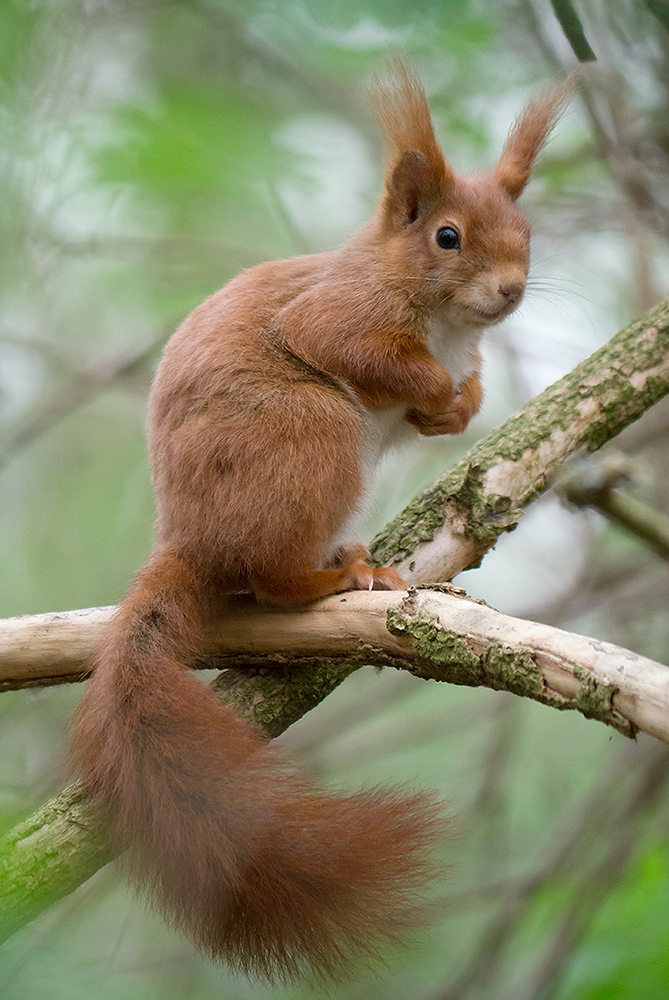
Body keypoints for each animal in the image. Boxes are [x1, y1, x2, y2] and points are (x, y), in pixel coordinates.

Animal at [70, 64, 568, 984]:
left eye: (527, 232)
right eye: (447, 237)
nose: (511, 291)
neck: (444, 323)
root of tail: (185, 541)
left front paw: (460, 406)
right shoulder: (336, 310)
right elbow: (350, 346)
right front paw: (437, 390)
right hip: (315, 435)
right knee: (269, 580)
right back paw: (337, 576)